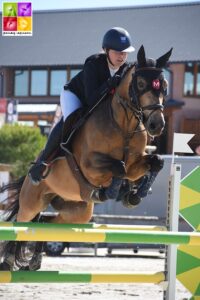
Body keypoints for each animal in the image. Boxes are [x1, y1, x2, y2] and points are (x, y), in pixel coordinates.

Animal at [0, 45, 172, 272]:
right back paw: (8, 261)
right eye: (141, 83)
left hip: (77, 211)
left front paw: (134, 194)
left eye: (164, 86)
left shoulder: (136, 164)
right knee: (21, 222)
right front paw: (117, 191)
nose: (156, 125)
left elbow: (155, 162)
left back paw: (35, 261)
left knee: (46, 223)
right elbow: (119, 166)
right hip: (32, 202)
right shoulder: (90, 165)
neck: (123, 125)